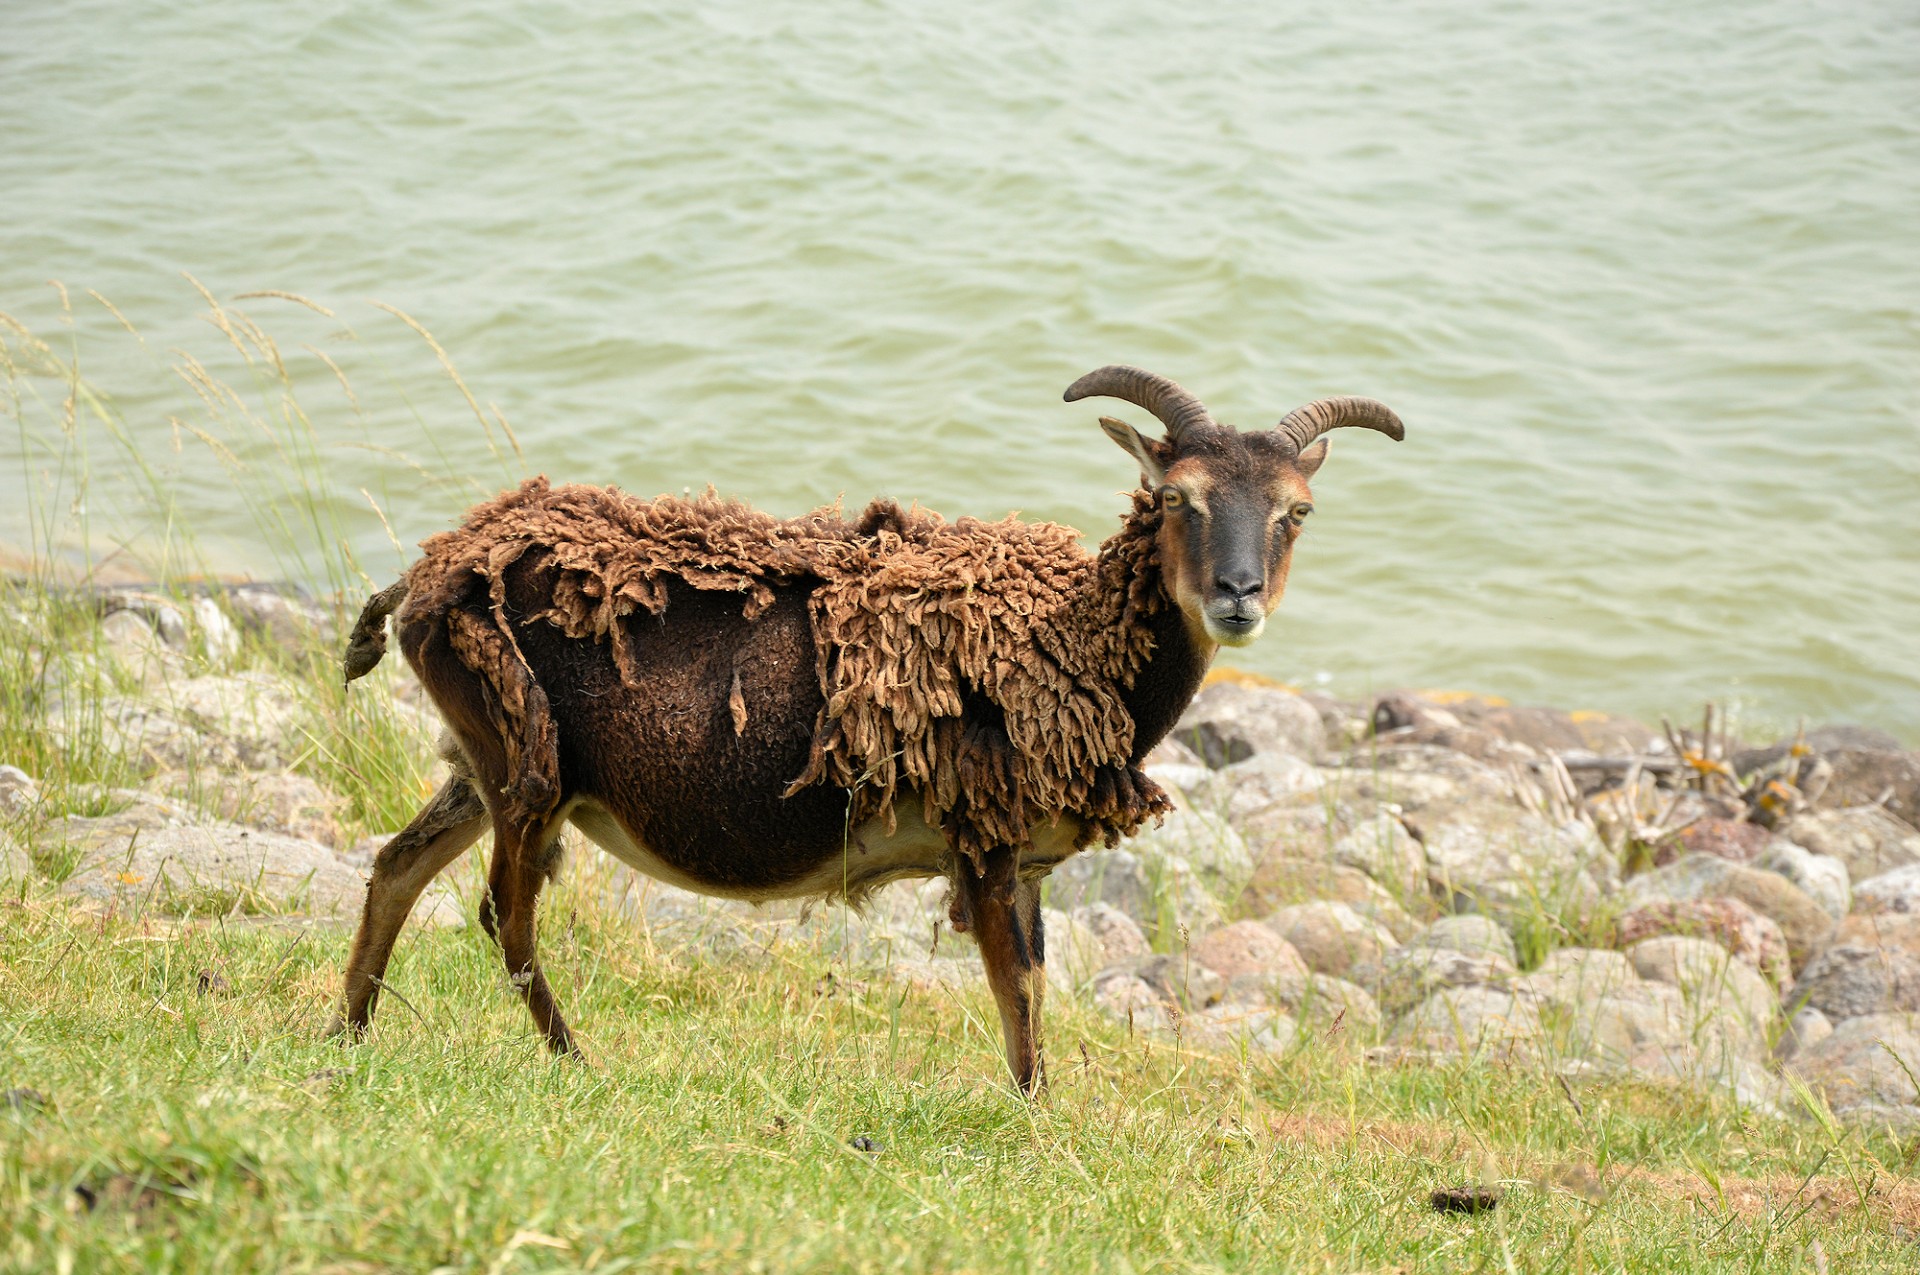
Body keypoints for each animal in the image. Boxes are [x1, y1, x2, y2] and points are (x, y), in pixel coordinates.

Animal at [334, 362, 1413, 1090]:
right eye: (1176, 497)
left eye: (1296, 512)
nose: (1237, 597)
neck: (1068, 639)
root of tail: (428, 574)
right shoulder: (985, 840)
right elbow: (1018, 993)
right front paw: (1035, 1124)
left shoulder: (1020, 857)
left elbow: (1034, 991)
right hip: (527, 767)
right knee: (500, 915)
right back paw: (574, 1060)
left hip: (488, 760)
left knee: (397, 867)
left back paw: (347, 1033)